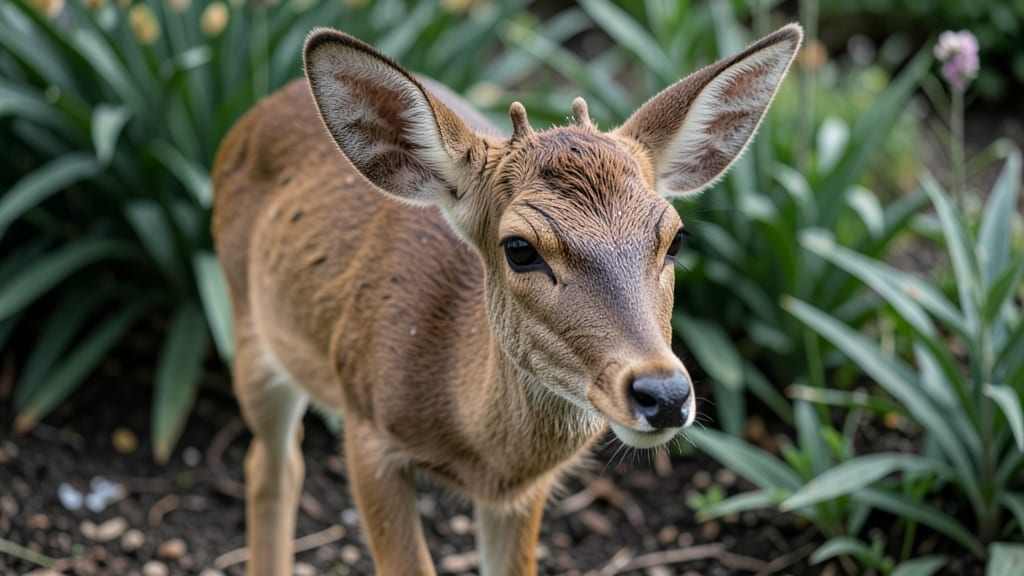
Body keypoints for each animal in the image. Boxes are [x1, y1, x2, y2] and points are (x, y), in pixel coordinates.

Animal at [211, 23, 801, 576]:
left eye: (675, 237)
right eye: (519, 248)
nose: (664, 394)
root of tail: (256, 110)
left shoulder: (520, 494)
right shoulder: (366, 425)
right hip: (248, 323)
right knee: (271, 466)